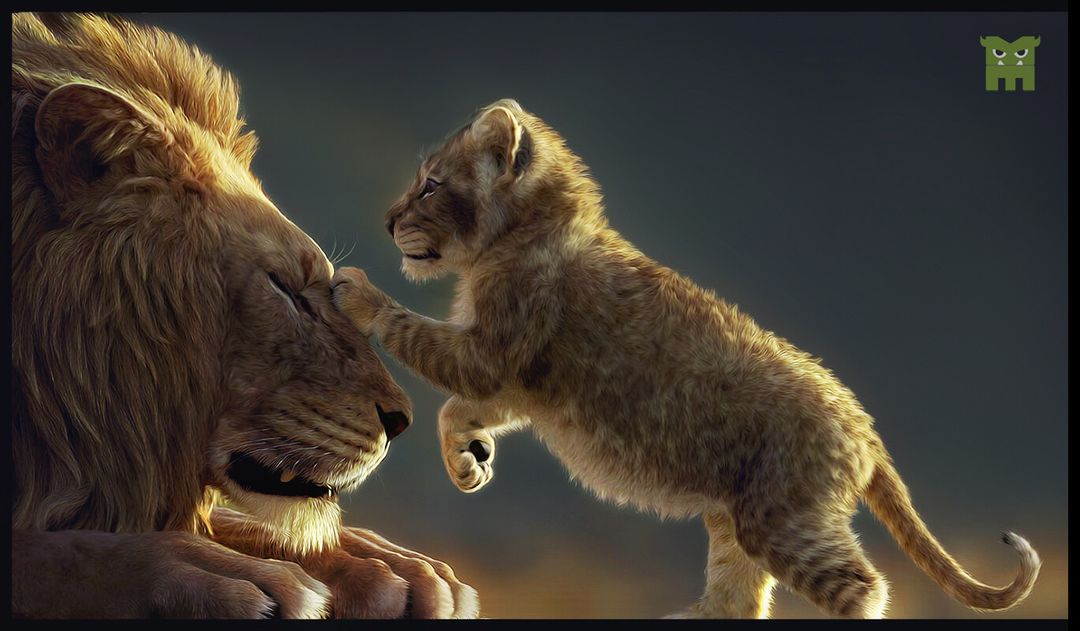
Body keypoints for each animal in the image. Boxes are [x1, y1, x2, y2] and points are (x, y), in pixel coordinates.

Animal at [329, 99, 1041, 618]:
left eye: (430, 187)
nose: (389, 220)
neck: (522, 231)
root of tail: (864, 428)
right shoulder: (518, 384)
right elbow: (457, 409)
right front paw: (469, 463)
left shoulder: (494, 353)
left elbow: (419, 340)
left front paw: (357, 292)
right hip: (736, 521)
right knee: (738, 597)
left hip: (786, 520)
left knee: (864, 588)